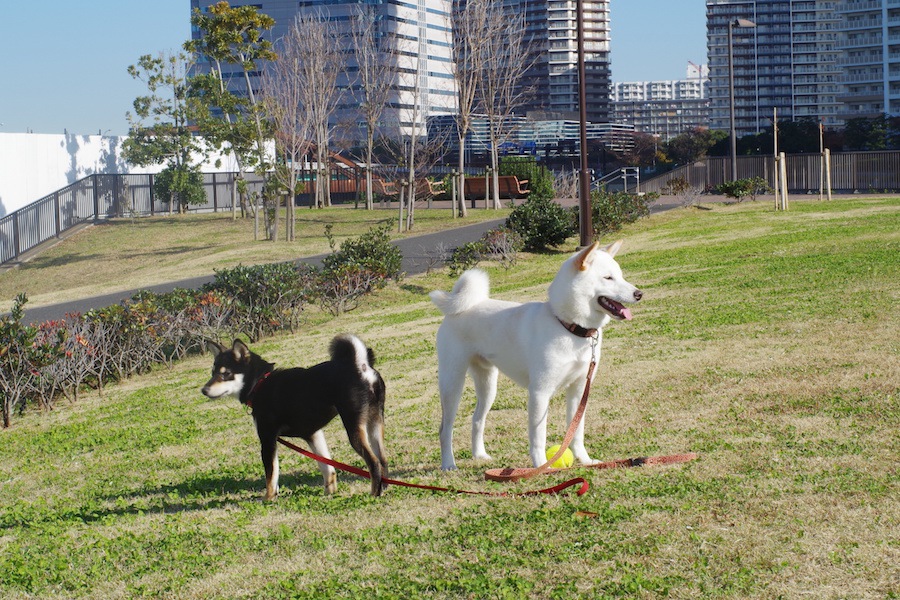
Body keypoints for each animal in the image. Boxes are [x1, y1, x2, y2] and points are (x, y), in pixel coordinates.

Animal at [200, 336, 386, 500]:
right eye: (212, 372)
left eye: (226, 374)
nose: (204, 390)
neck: (260, 383)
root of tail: (360, 366)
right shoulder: (313, 434)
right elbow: (327, 467)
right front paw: (330, 492)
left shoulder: (267, 439)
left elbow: (271, 475)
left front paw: (268, 498)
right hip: (375, 423)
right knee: (383, 459)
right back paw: (384, 488)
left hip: (353, 426)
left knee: (374, 462)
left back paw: (373, 494)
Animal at [428, 239, 640, 468]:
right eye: (608, 278)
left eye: (621, 276)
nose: (639, 293)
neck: (567, 326)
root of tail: (460, 308)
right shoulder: (540, 392)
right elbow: (539, 437)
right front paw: (541, 466)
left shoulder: (579, 389)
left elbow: (576, 432)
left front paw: (584, 459)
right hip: (452, 384)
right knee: (445, 429)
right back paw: (448, 464)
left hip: (488, 386)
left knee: (477, 420)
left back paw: (479, 455)